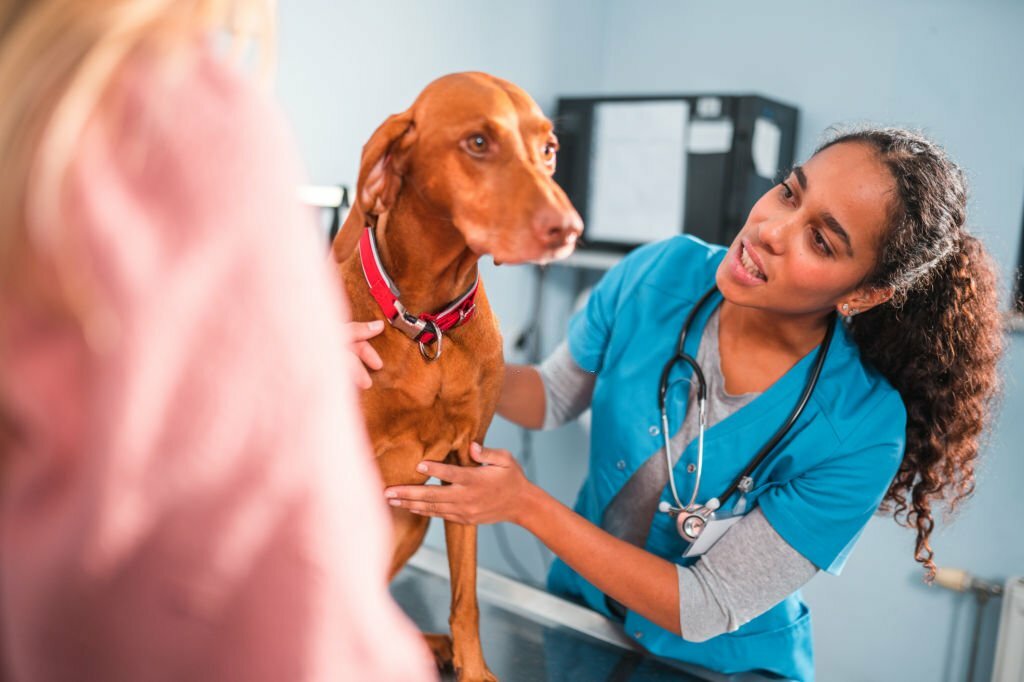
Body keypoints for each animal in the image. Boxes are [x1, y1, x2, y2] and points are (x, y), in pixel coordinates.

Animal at [329, 74, 581, 679]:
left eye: (549, 150)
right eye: (478, 143)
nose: (569, 229)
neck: (426, 324)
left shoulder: (466, 471)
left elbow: (466, 599)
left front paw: (472, 666)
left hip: (410, 519)